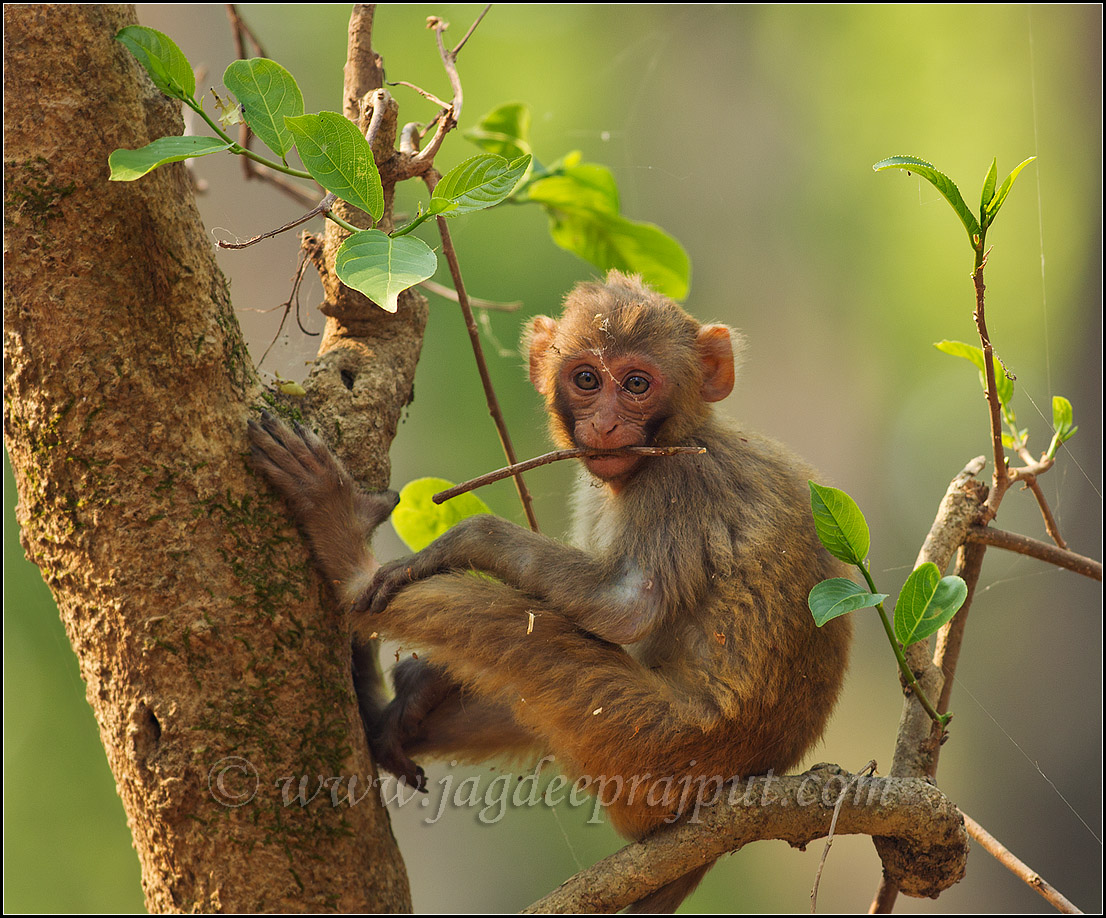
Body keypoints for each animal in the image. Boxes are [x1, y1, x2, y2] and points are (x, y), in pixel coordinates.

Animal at [247, 270, 852, 912]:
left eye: (637, 384)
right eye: (586, 379)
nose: (605, 425)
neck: (685, 436)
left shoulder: (679, 482)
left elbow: (625, 609)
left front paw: (465, 539)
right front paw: (425, 681)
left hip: (654, 751)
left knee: (515, 631)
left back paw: (345, 550)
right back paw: (393, 707)